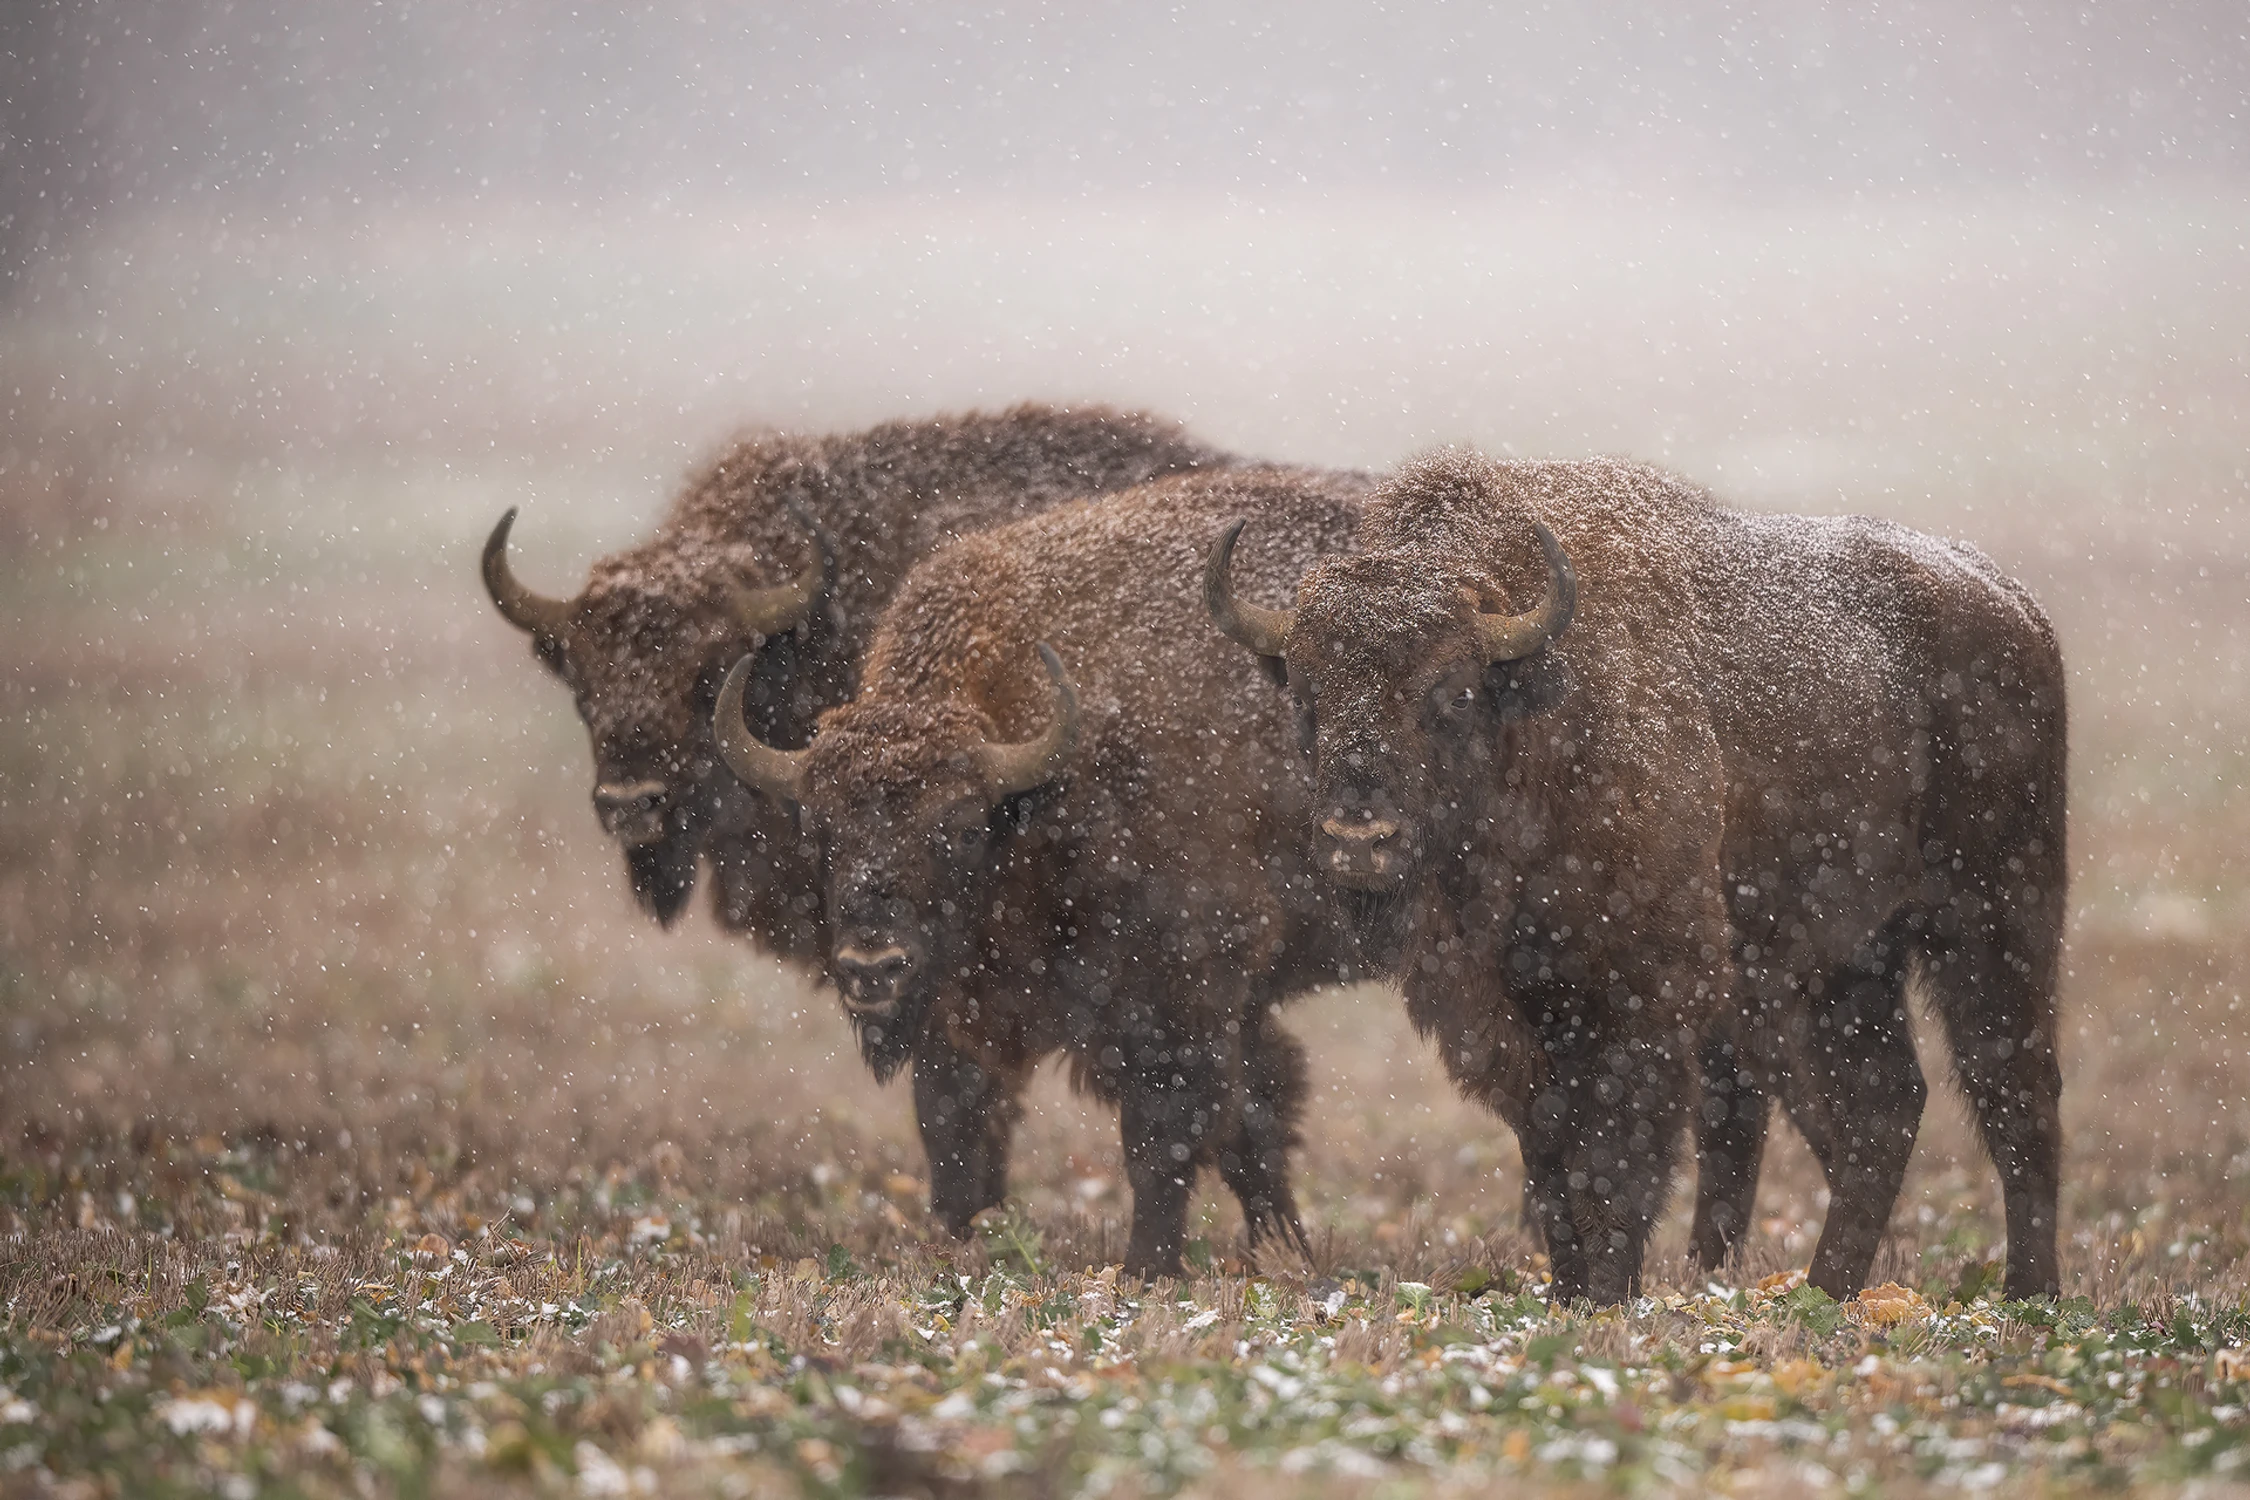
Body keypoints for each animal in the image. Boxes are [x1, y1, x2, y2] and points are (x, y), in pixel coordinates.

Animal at [711, 472, 1368, 1277]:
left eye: (961, 824)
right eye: (818, 826)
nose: (873, 965)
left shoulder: (1187, 988)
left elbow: (1170, 1135)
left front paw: (1147, 1269)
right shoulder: (964, 1011)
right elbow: (956, 1124)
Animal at [1215, 445, 2061, 1304]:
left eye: (1449, 692)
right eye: (1306, 695)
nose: (1359, 836)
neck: (1539, 709)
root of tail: (2013, 606)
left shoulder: (1642, 1000)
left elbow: (1616, 1158)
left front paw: (1609, 1292)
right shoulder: (1503, 1013)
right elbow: (1549, 1153)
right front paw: (1567, 1291)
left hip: (1994, 916)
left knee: (2013, 1090)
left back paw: (2031, 1291)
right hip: (1849, 961)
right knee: (1885, 1106)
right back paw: (1827, 1289)